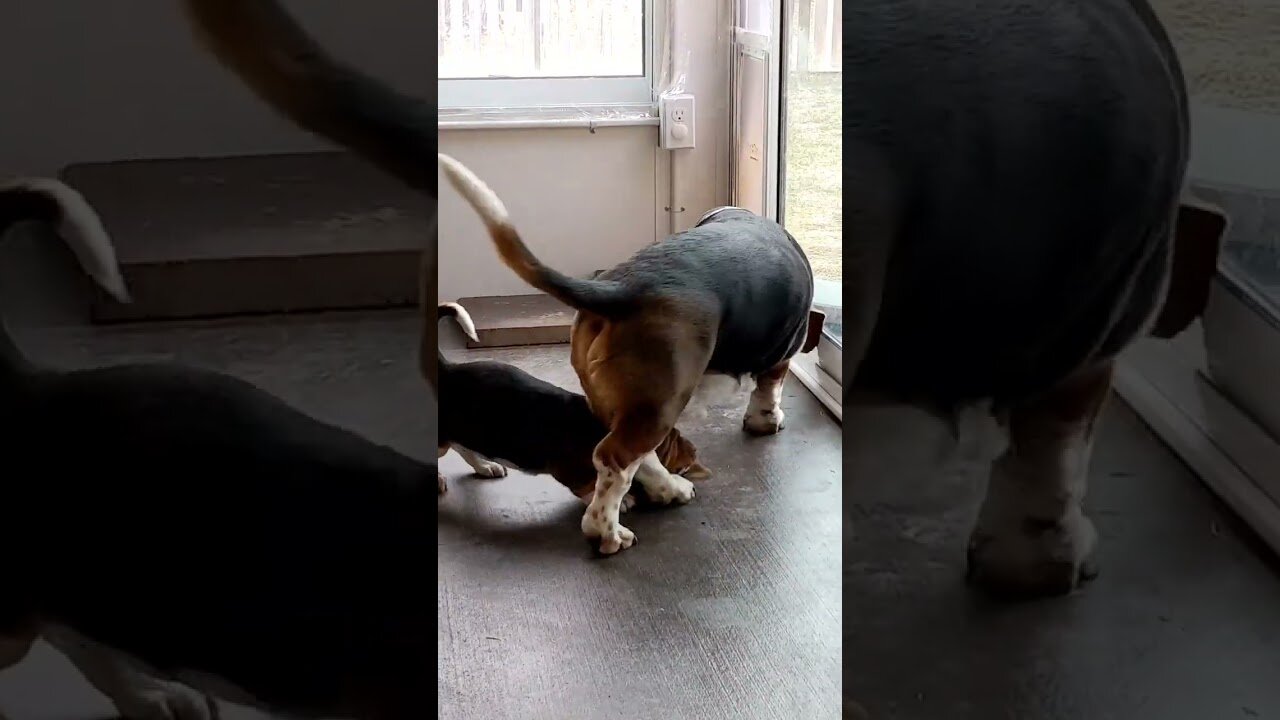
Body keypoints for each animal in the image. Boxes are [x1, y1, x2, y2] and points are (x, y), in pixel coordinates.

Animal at [435, 299, 706, 507]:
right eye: (675, 440)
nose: (694, 451)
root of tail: (446, 369)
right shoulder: (571, 471)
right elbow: (588, 486)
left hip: (464, 429)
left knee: (462, 446)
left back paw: (485, 466)